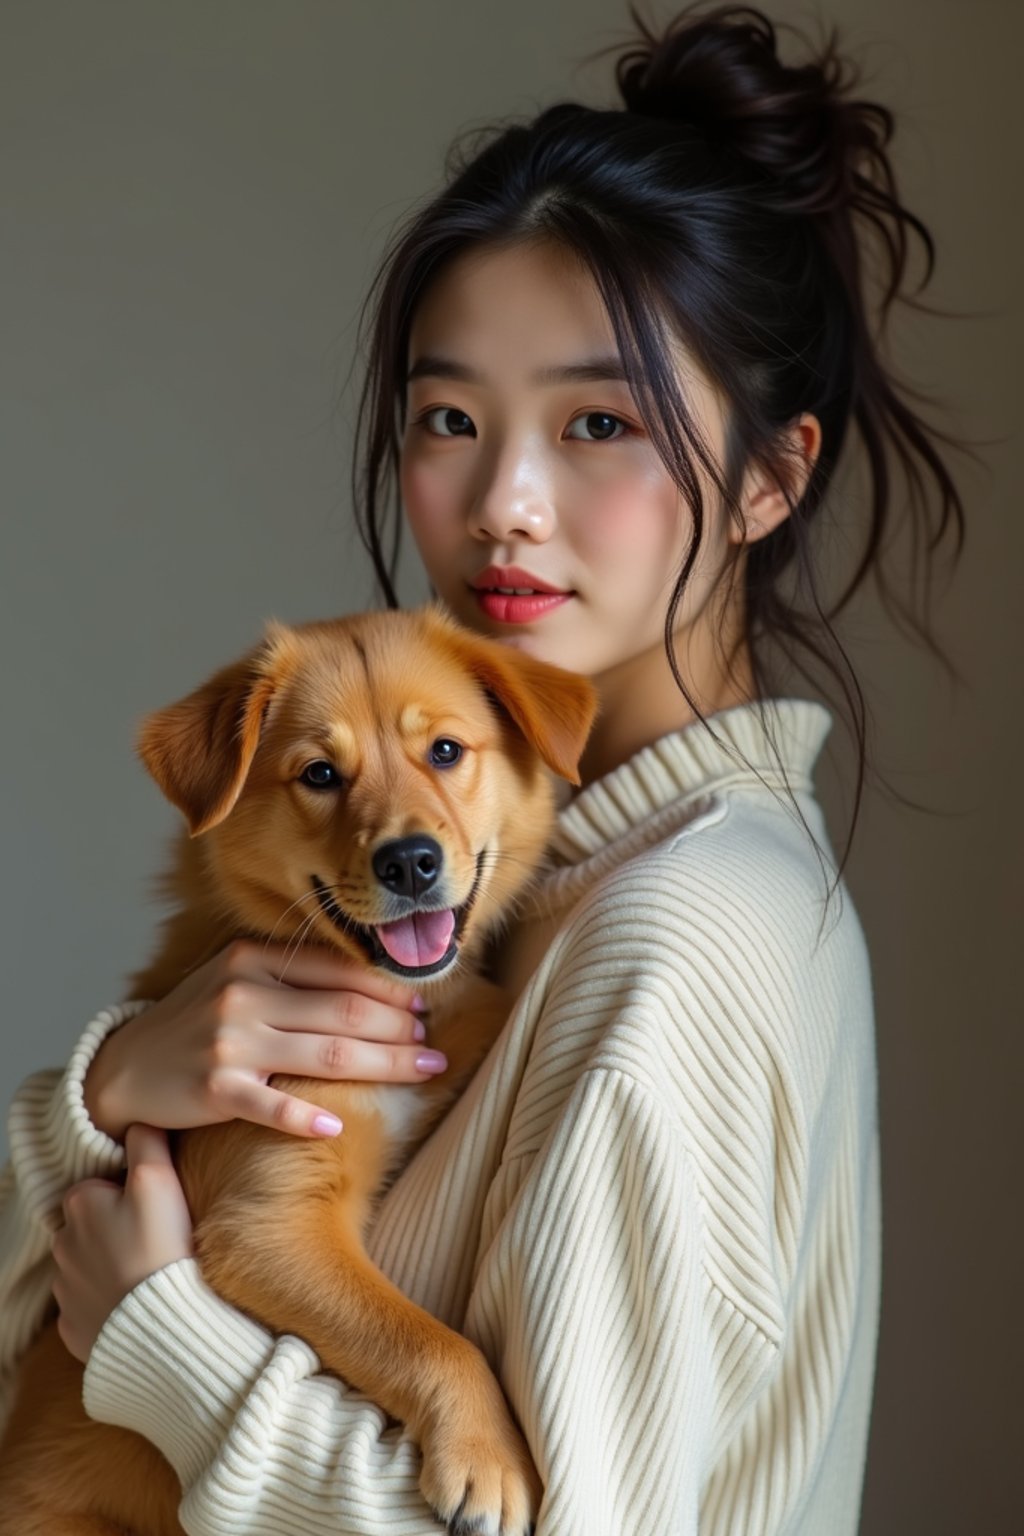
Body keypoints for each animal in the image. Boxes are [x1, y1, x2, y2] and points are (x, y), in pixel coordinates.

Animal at [0, 605, 601, 1536]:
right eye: (319, 773)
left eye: (446, 752)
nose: (411, 862)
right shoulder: (271, 1220)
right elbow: (427, 1338)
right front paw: (490, 1458)